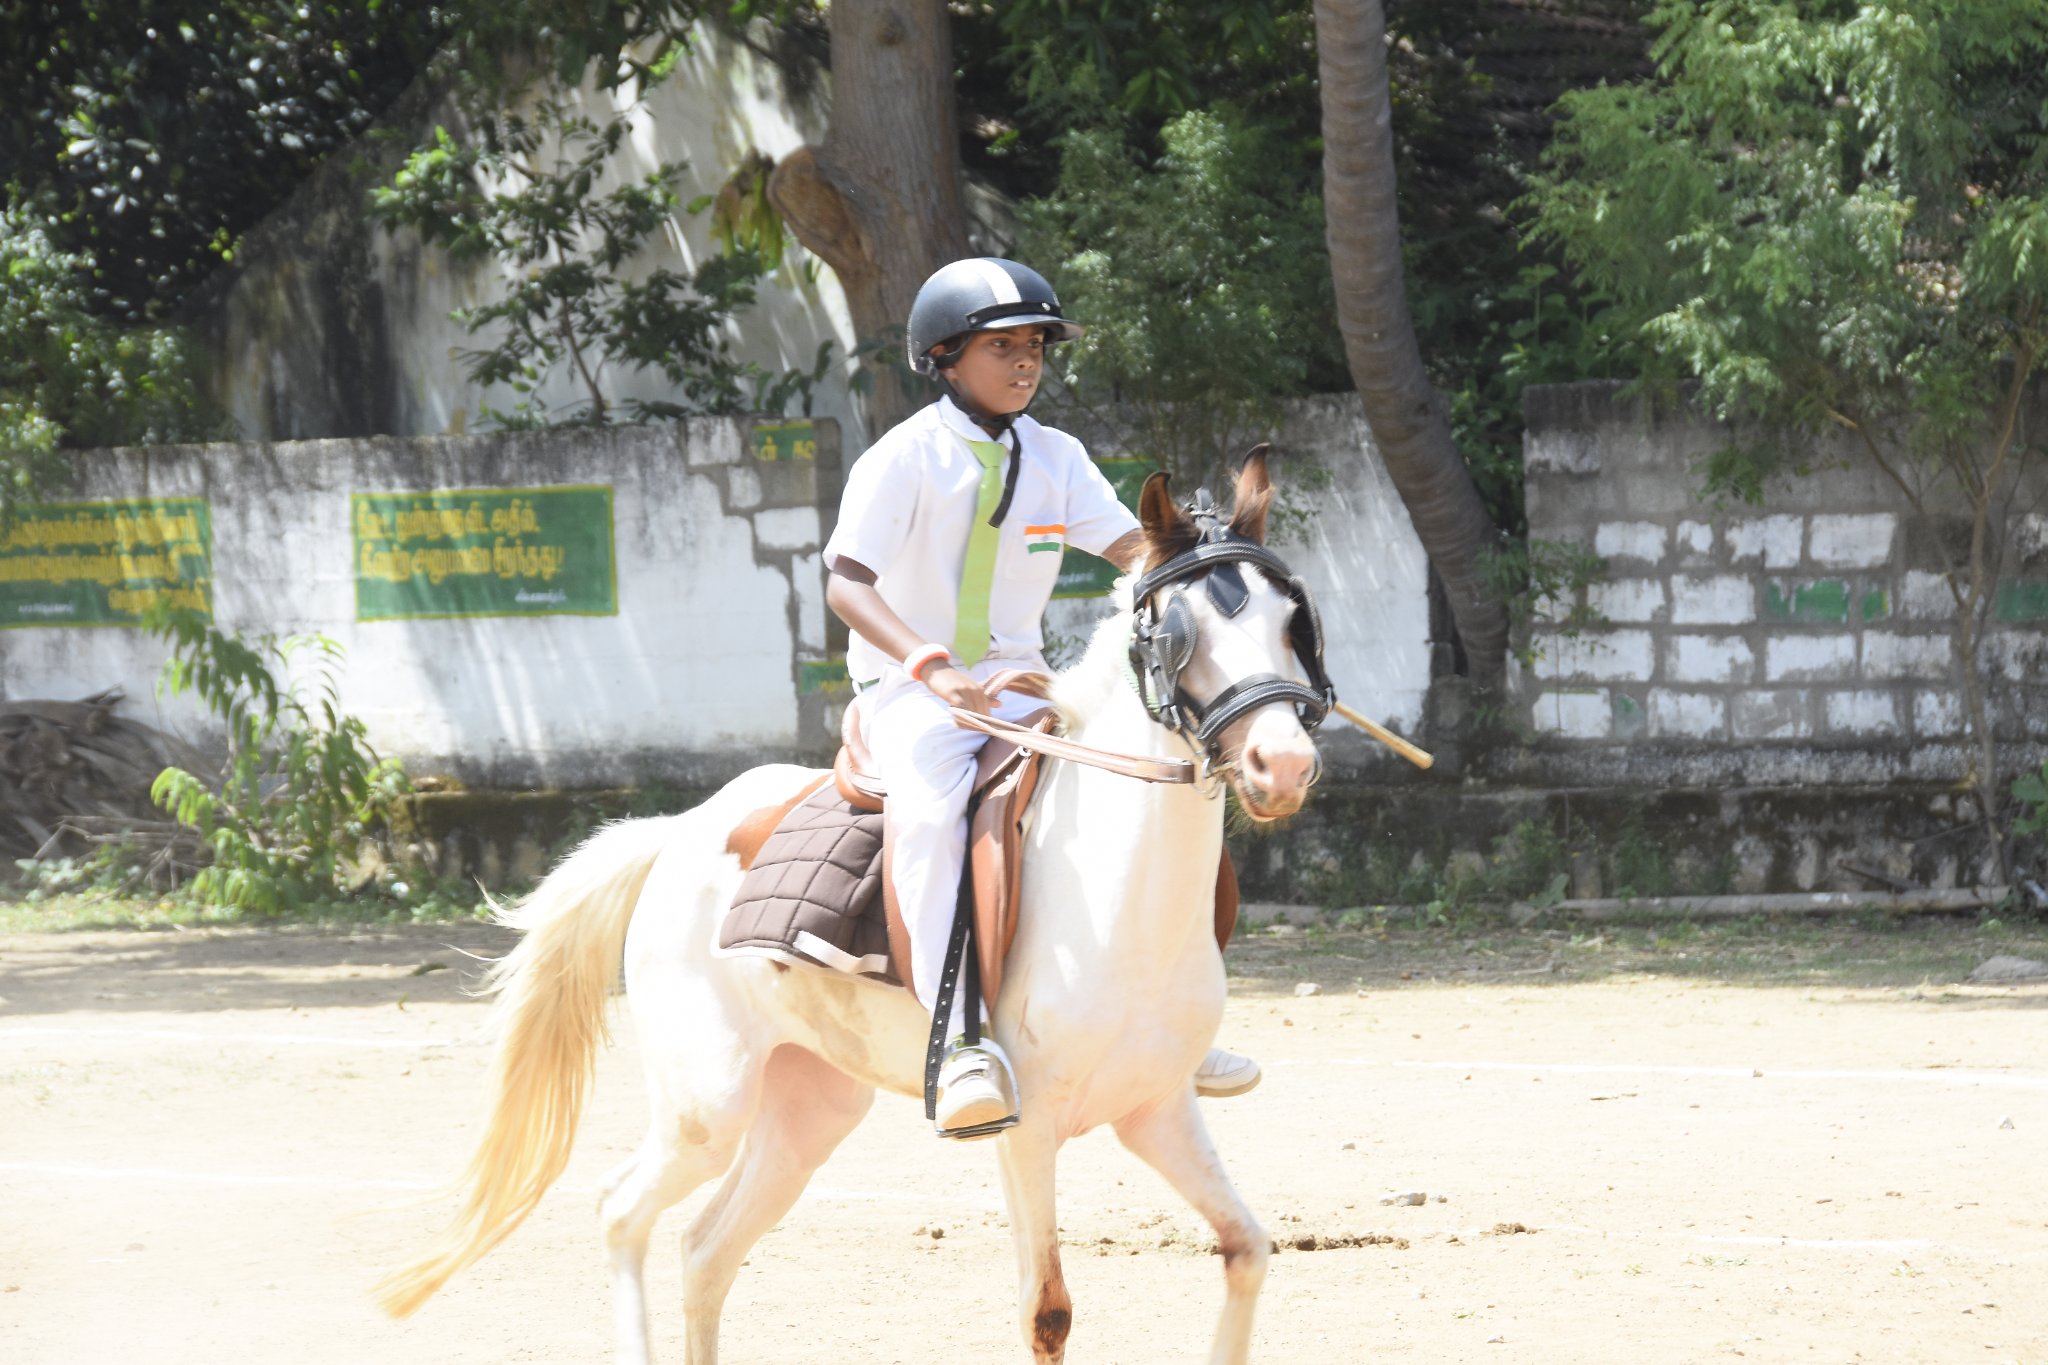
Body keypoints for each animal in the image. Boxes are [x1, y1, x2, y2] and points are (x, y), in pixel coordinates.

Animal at [382, 454, 1327, 1358]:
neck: (1120, 899)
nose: (1283, 765)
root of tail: (679, 833)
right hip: (708, 1107)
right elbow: (1048, 1314)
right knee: (622, 1212)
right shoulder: (1027, 1132)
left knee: (704, 1250)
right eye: (1180, 630)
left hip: (809, 1112)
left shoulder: (1156, 1111)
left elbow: (1247, 1249)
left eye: (1291, 619)